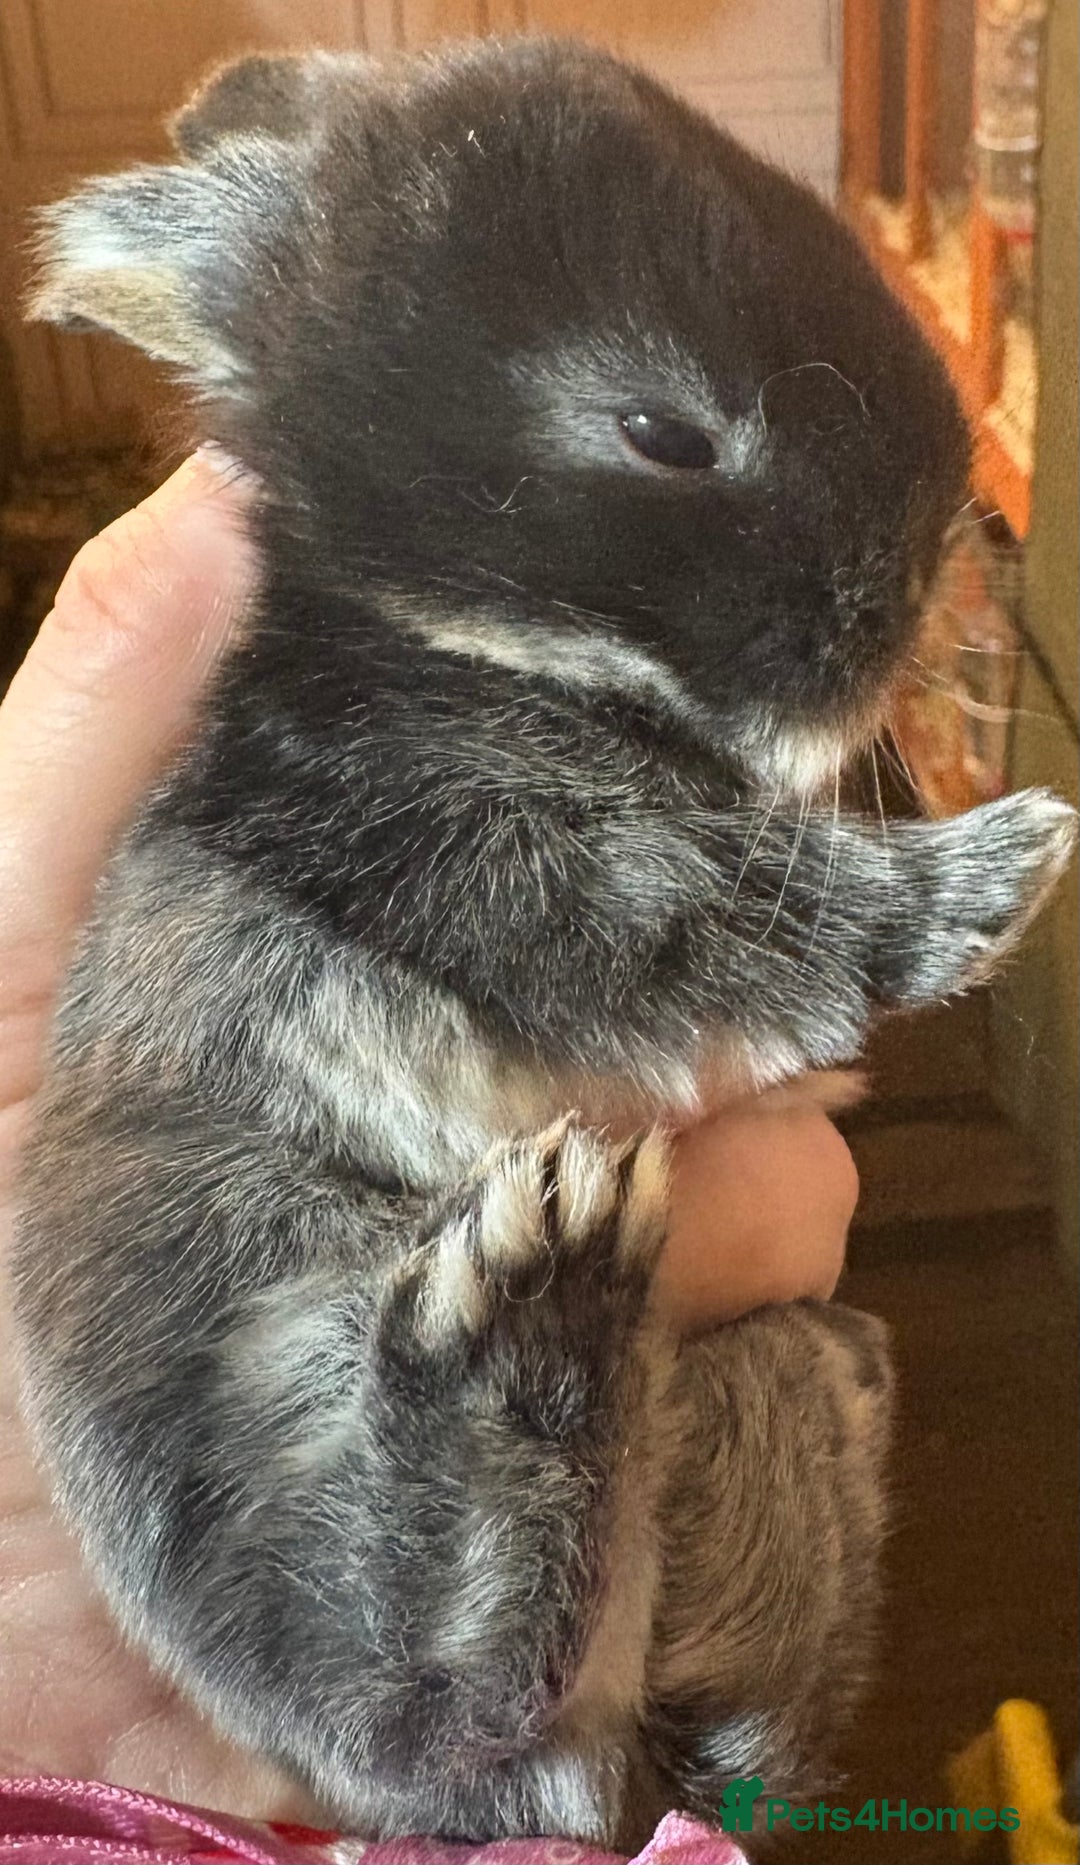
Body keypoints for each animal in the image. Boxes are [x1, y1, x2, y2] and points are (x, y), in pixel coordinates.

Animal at [14, 35, 1076, 1850]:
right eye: (660, 432)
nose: (912, 586)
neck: (473, 638)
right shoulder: (487, 851)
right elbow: (721, 909)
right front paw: (998, 866)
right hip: (242, 1382)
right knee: (425, 1683)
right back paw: (534, 1296)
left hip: (762, 1382)